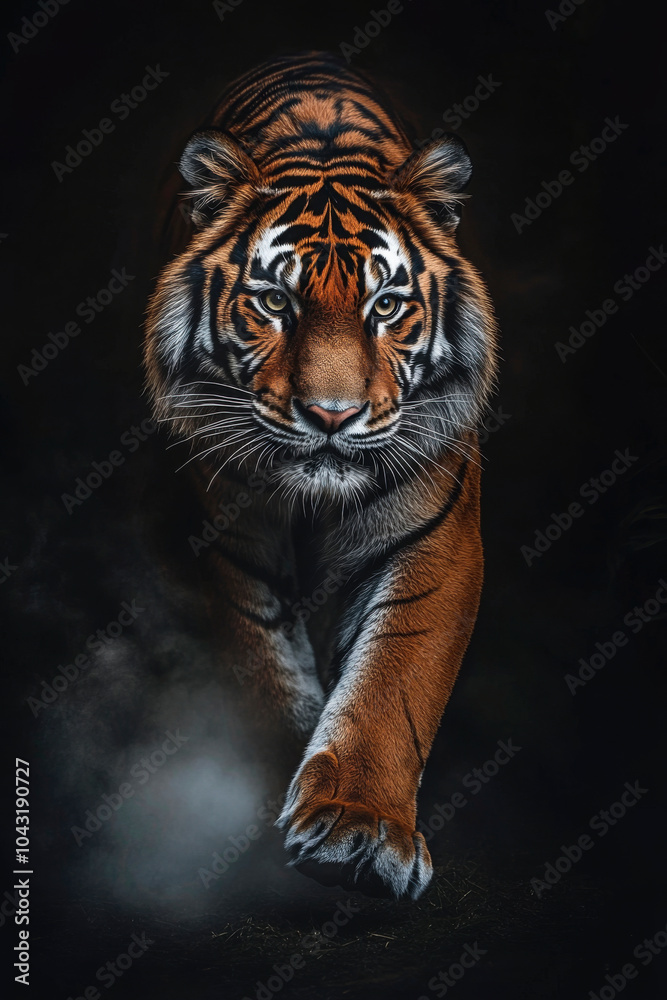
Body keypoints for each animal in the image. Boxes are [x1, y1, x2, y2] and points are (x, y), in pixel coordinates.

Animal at [144, 51, 498, 900]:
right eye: (274, 301)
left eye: (386, 305)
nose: (331, 415)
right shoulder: (224, 550)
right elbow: (263, 675)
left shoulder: (435, 546)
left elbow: (390, 686)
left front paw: (355, 827)